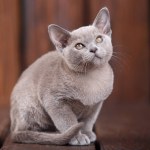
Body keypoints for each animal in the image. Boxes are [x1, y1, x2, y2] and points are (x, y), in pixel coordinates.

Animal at [10, 7, 113, 146]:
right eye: (79, 46)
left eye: (98, 39)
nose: (93, 49)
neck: (93, 77)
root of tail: (13, 129)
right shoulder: (55, 101)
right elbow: (68, 121)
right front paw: (77, 137)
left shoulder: (96, 105)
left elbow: (88, 121)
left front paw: (87, 133)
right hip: (30, 106)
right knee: (29, 130)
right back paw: (56, 134)